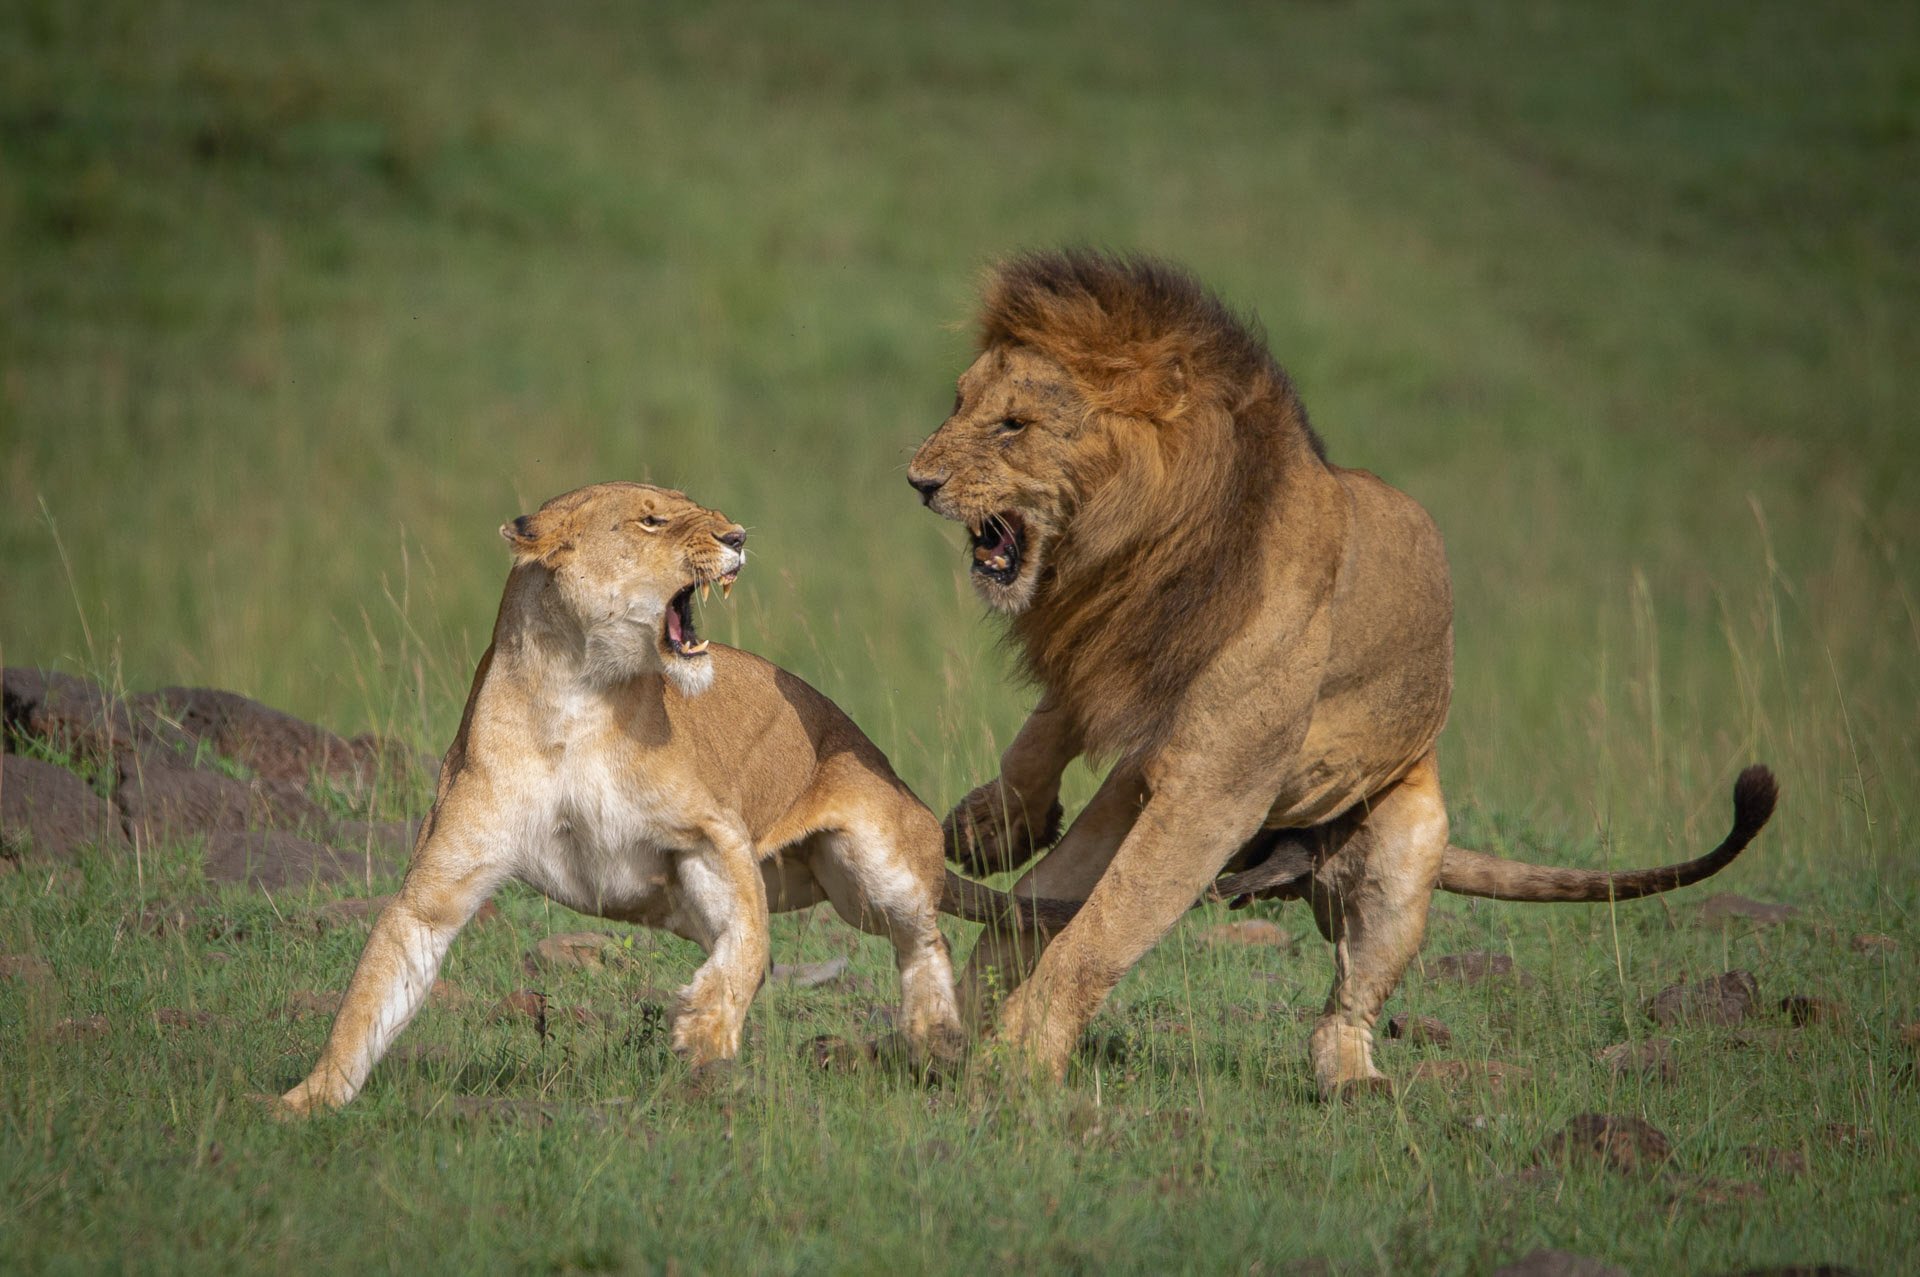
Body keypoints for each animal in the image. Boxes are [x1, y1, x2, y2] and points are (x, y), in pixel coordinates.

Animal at [280, 483, 1067, 1113]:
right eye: (652, 519)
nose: (738, 536)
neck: (575, 698)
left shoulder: (714, 833)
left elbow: (749, 945)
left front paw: (707, 1029)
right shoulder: (441, 882)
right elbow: (374, 990)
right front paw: (307, 1102)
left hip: (866, 859)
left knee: (923, 933)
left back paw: (936, 1034)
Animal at [906, 251, 1774, 1098]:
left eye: (1014, 425)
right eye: (959, 403)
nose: (917, 480)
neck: (1137, 553)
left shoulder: (1213, 791)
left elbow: (1105, 931)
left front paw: (1020, 1062)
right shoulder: (1103, 663)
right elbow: (1041, 741)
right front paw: (989, 828)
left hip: (1401, 850)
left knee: (1346, 1000)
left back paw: (1353, 1082)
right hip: (1131, 800)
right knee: (1020, 919)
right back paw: (946, 1023)